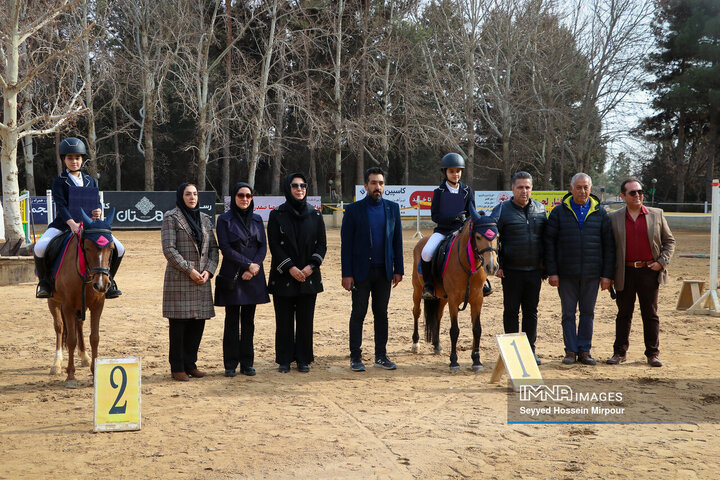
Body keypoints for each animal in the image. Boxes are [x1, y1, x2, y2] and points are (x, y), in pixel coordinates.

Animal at [47, 212, 115, 388]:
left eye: (111, 248)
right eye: (88, 247)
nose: (102, 284)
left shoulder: (97, 305)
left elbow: (95, 337)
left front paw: (94, 373)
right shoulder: (67, 306)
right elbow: (70, 339)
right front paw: (70, 376)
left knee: (79, 325)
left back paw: (84, 356)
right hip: (53, 301)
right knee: (59, 327)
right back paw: (56, 363)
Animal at [410, 218, 500, 372]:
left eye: (497, 236)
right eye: (478, 237)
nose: (492, 267)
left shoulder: (477, 299)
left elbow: (477, 329)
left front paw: (476, 361)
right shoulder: (453, 300)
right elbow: (454, 330)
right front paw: (454, 362)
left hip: (442, 297)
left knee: (437, 316)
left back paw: (437, 345)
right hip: (417, 289)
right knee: (417, 312)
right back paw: (415, 343)